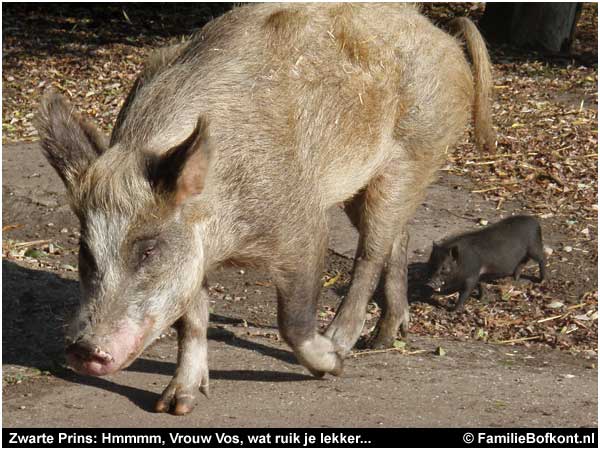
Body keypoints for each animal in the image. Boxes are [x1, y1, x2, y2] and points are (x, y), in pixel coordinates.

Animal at [35, 2, 494, 414]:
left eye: (148, 250)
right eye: (84, 251)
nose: (82, 350)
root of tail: (441, 35)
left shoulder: (301, 224)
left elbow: (292, 320)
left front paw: (331, 366)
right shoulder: (195, 254)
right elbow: (192, 320)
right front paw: (174, 406)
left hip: (413, 155)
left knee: (370, 254)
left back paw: (344, 343)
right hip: (362, 186)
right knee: (401, 235)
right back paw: (384, 337)